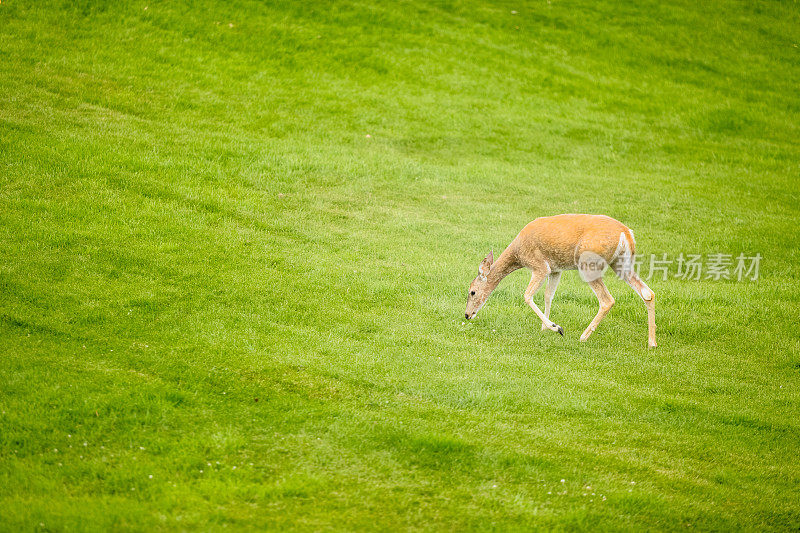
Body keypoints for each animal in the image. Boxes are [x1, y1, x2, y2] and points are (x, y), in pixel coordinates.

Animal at [462, 214, 656, 348]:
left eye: (472, 291)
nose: (467, 315)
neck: (518, 254)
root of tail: (627, 234)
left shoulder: (540, 266)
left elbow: (527, 295)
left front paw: (556, 327)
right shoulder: (556, 269)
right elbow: (549, 295)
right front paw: (544, 327)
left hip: (589, 263)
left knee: (607, 300)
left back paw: (583, 337)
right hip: (621, 264)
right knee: (648, 293)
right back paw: (652, 342)